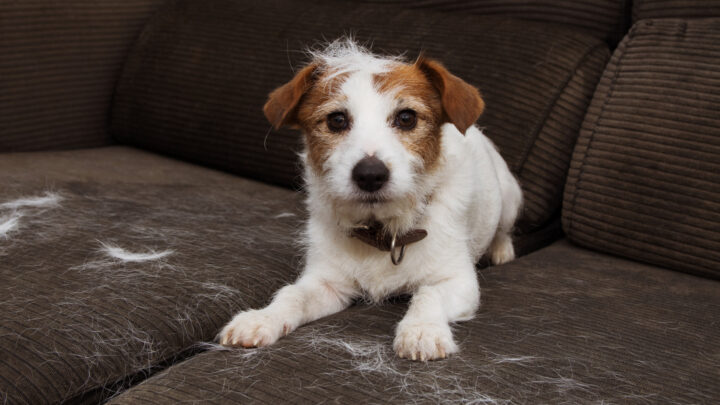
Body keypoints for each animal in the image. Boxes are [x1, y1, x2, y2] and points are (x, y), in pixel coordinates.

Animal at [217, 38, 520, 360]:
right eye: (337, 120)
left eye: (406, 118)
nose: (370, 175)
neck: (383, 232)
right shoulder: (327, 283)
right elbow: (292, 294)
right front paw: (261, 318)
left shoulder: (458, 281)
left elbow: (429, 294)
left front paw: (422, 330)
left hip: (510, 197)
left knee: (504, 229)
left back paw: (502, 251)